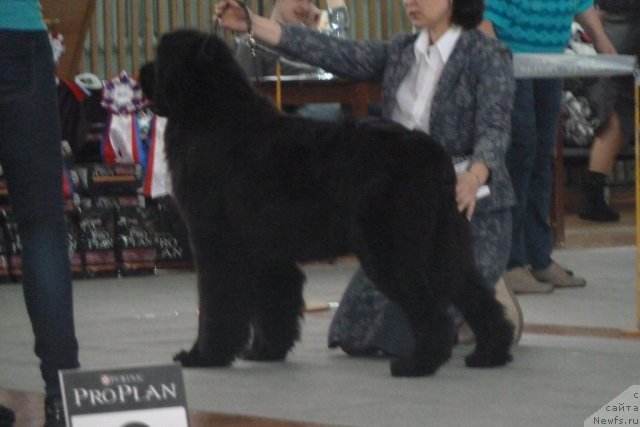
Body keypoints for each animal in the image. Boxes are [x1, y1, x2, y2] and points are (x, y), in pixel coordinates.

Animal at [152, 29, 512, 378]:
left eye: (159, 60)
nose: (143, 74)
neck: (211, 112)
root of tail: (434, 155)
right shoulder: (268, 251)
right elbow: (274, 304)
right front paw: (266, 351)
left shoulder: (215, 242)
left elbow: (216, 304)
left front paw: (203, 355)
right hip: (442, 250)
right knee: (476, 296)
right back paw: (490, 353)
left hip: (391, 253)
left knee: (430, 312)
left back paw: (417, 364)